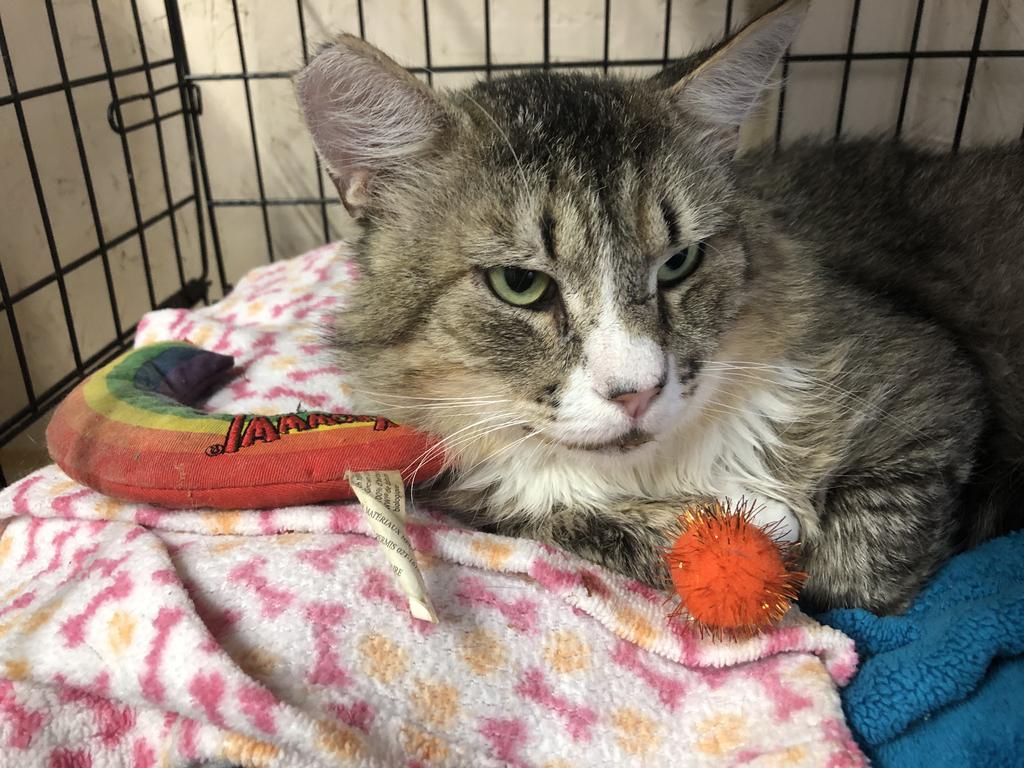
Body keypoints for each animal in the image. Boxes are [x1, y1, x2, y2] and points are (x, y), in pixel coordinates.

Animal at [292, 0, 1019, 614]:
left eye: (678, 263)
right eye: (519, 284)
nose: (637, 392)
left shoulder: (934, 387)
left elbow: (857, 571)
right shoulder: (478, 489)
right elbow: (578, 524)